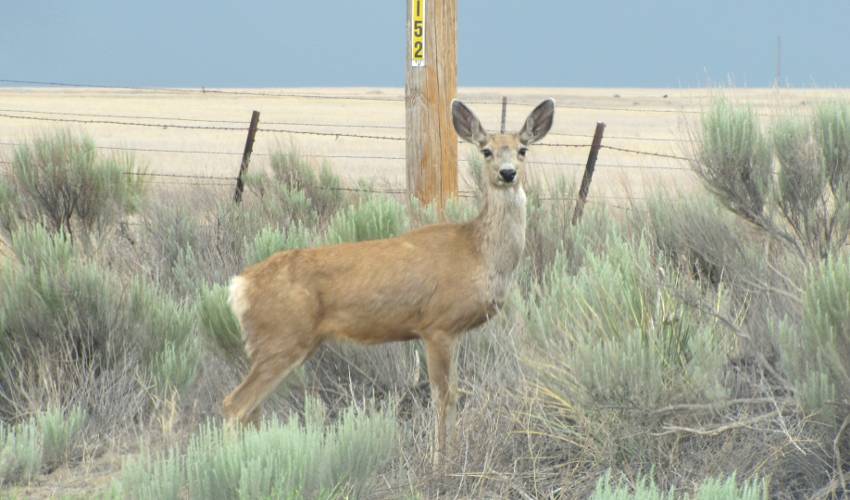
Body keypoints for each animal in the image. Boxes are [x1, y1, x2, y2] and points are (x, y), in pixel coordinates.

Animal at [224, 97, 556, 464]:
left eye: (522, 149)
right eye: (486, 150)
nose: (507, 173)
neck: (477, 252)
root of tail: (239, 287)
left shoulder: (452, 332)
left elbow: (453, 392)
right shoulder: (437, 325)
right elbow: (443, 395)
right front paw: (442, 461)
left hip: (284, 343)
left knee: (251, 409)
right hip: (281, 339)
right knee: (235, 405)